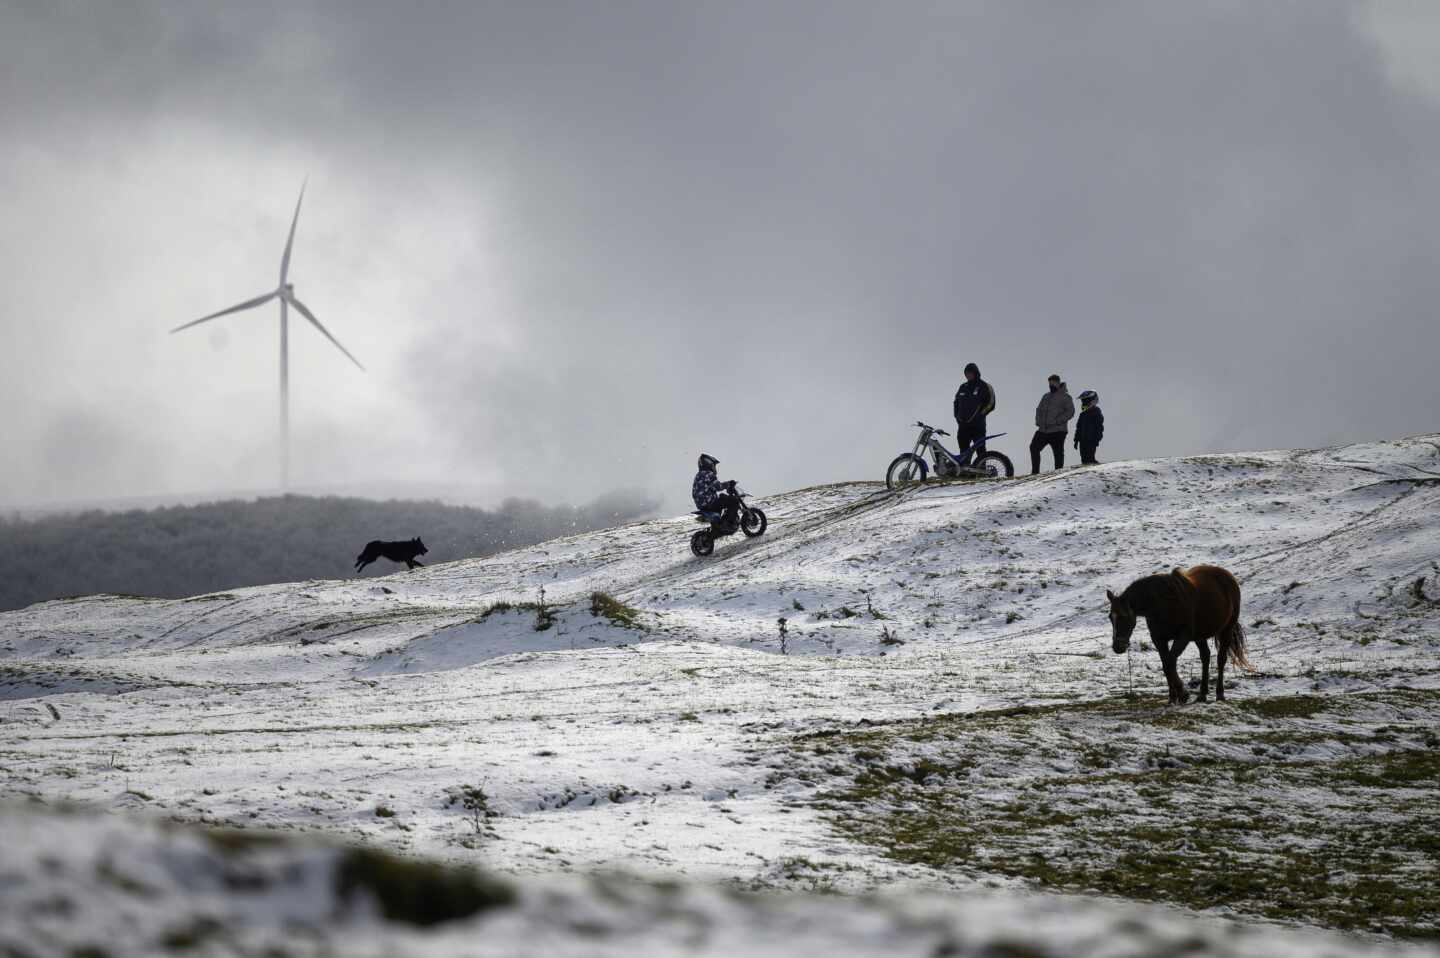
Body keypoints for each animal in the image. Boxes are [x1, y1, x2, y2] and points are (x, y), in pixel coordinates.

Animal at [1111, 561, 1249, 703]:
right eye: (1111, 617)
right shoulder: (1159, 640)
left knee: (1221, 659)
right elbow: (1166, 664)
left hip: (1227, 629)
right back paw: (1202, 694)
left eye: (1123, 616)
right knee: (1205, 657)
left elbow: (1170, 662)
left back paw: (1220, 694)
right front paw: (1173, 697)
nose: (1117, 647)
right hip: (1200, 636)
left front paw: (1183, 694)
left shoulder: (1183, 637)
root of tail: (1228, 577)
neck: (1162, 603)